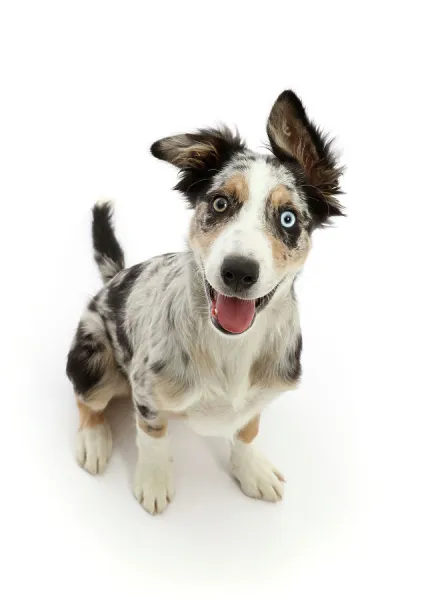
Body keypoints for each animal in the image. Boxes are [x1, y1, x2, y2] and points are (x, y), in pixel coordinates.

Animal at [67, 90, 346, 516]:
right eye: (219, 204)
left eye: (287, 218)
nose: (238, 272)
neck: (230, 347)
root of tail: (116, 276)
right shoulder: (146, 391)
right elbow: (153, 435)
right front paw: (153, 480)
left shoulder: (259, 397)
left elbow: (248, 430)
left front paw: (251, 471)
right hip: (94, 360)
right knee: (87, 401)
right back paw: (94, 440)